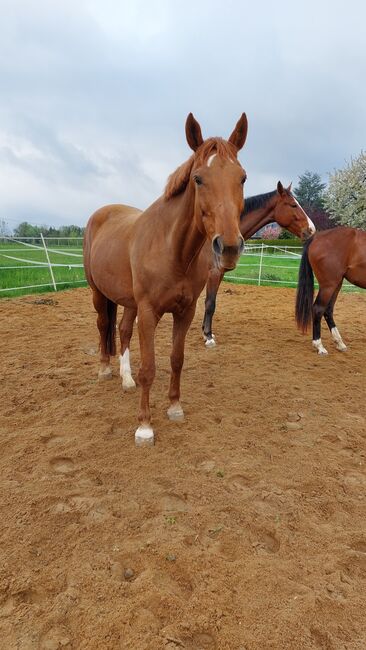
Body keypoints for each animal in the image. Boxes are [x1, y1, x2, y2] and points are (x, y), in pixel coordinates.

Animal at [84, 114, 247, 442]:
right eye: (198, 179)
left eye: (243, 178)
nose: (229, 248)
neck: (173, 250)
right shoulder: (148, 312)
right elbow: (149, 367)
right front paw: (145, 426)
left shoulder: (185, 311)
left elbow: (176, 359)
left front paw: (174, 408)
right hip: (98, 293)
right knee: (103, 325)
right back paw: (105, 369)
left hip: (128, 301)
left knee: (121, 331)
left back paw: (126, 379)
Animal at [200, 182, 314, 344]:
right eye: (293, 205)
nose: (312, 229)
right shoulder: (214, 273)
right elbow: (210, 303)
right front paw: (208, 336)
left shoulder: (219, 274)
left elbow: (211, 301)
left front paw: (206, 332)